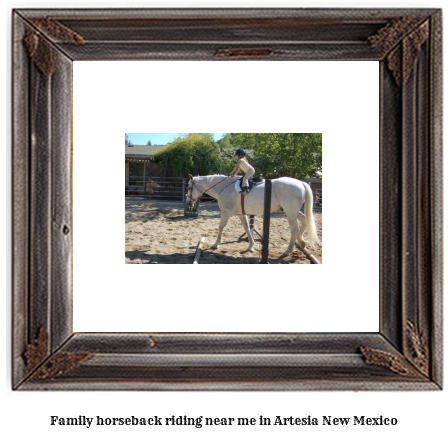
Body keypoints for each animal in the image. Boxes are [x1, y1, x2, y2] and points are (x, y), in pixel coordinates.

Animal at [187, 175, 320, 256]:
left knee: (294, 229)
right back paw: (301, 242)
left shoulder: (225, 212)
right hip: (294, 211)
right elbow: (247, 228)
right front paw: (250, 246)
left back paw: (288, 250)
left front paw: (216, 244)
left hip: (290, 212)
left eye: (188, 187)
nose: (189, 203)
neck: (224, 188)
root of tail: (301, 183)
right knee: (304, 221)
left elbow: (220, 228)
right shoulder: (241, 214)